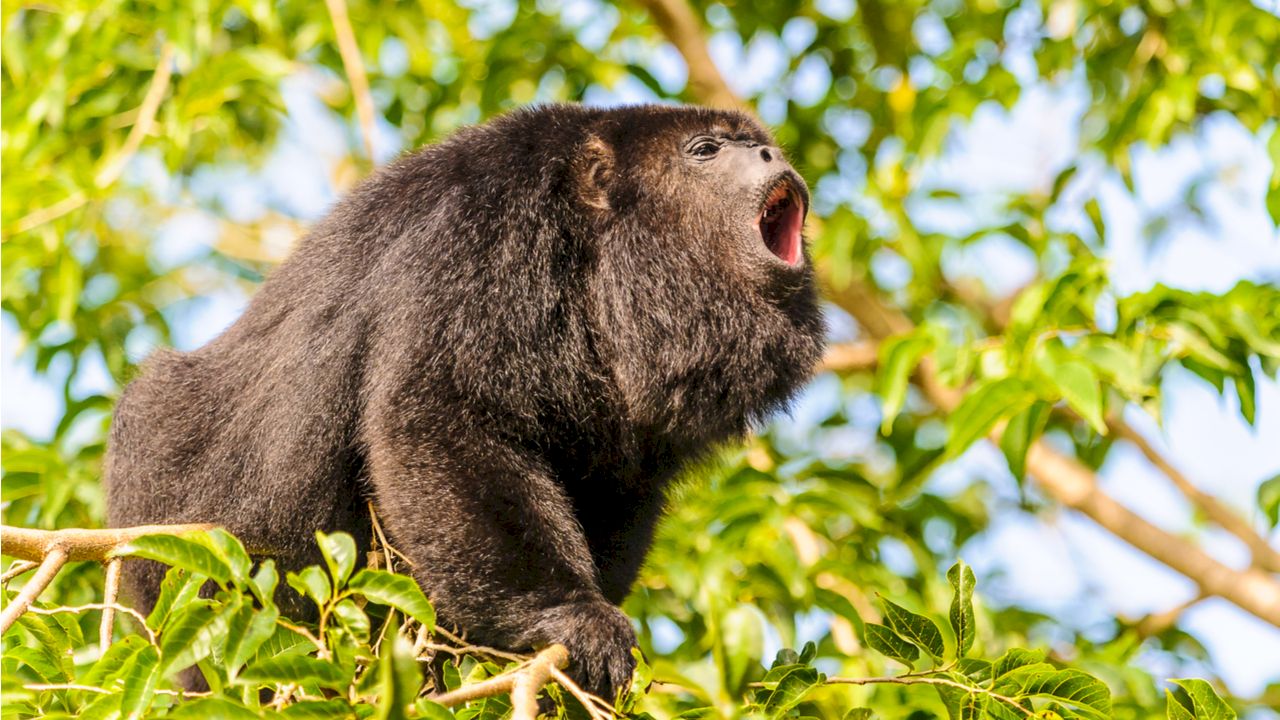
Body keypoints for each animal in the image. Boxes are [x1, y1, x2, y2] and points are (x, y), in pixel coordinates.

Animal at [110, 103, 829, 696]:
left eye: (758, 145)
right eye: (706, 150)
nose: (772, 156)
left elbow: (615, 481)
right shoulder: (482, 236)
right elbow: (440, 421)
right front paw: (570, 615)